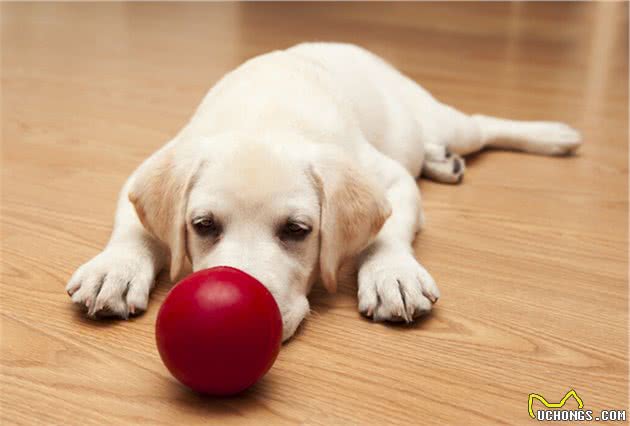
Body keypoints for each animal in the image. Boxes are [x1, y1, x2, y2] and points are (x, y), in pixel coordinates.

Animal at [65, 40, 584, 340]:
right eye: (203, 225)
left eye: (297, 230)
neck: (264, 115)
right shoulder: (148, 168)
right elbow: (132, 226)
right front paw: (114, 269)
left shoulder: (389, 178)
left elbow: (387, 231)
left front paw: (393, 274)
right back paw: (443, 161)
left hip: (440, 120)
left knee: (480, 126)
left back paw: (554, 136)